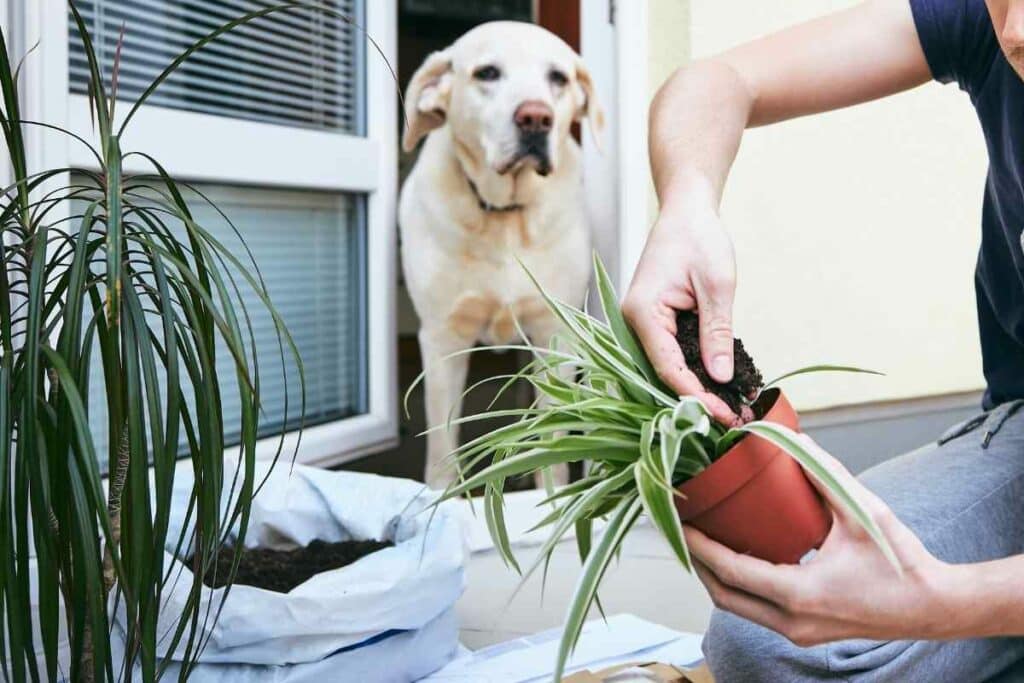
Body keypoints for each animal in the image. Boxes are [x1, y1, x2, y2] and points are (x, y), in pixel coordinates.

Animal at [399, 21, 602, 489]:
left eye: (558, 78)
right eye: (487, 73)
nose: (536, 117)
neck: (505, 215)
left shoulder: (554, 332)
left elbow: (553, 444)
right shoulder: (443, 339)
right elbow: (441, 448)